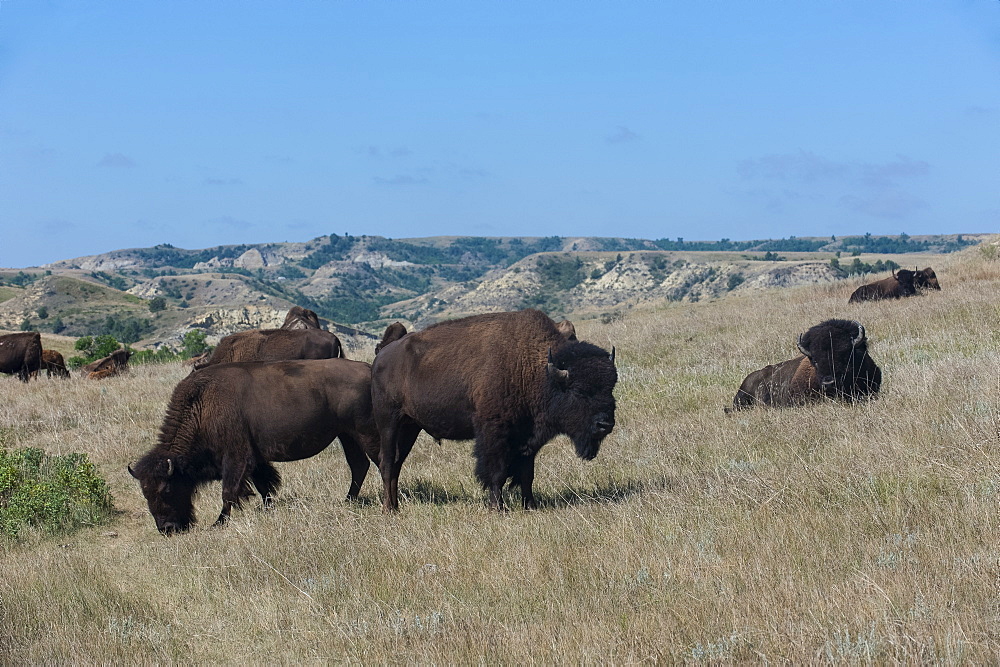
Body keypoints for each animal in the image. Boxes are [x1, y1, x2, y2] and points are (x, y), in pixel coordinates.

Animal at [129, 358, 378, 536]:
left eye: (167, 489)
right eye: (145, 493)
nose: (167, 529)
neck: (201, 406)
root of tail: (368, 369)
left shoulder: (236, 458)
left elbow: (229, 492)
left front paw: (219, 523)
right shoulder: (255, 460)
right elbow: (264, 485)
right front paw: (268, 509)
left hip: (363, 432)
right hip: (346, 435)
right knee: (359, 465)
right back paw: (348, 500)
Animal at [370, 308, 616, 512]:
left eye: (611, 387)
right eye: (579, 391)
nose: (605, 424)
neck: (531, 367)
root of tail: (382, 355)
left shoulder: (527, 439)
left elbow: (527, 474)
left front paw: (531, 506)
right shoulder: (494, 432)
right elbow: (496, 472)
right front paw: (497, 508)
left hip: (410, 427)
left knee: (397, 464)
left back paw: (396, 506)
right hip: (389, 421)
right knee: (387, 462)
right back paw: (389, 510)